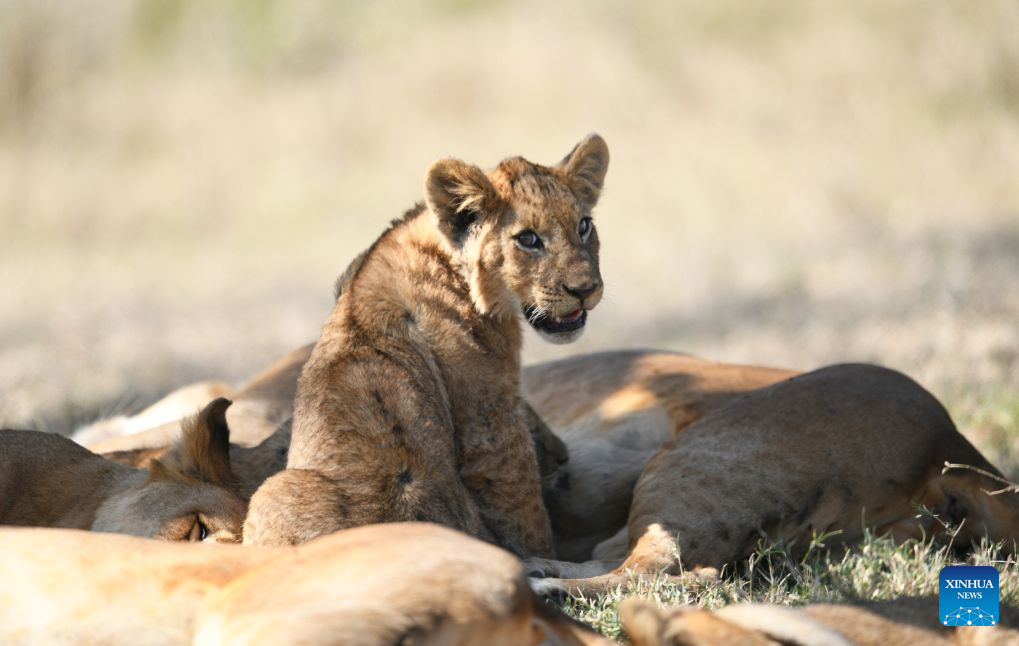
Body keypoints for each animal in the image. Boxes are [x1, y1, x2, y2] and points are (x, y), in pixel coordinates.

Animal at [243, 134, 610, 556]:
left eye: (584, 226)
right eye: (528, 239)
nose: (585, 290)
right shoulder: (488, 412)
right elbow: (520, 500)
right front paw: (542, 553)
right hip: (271, 491)